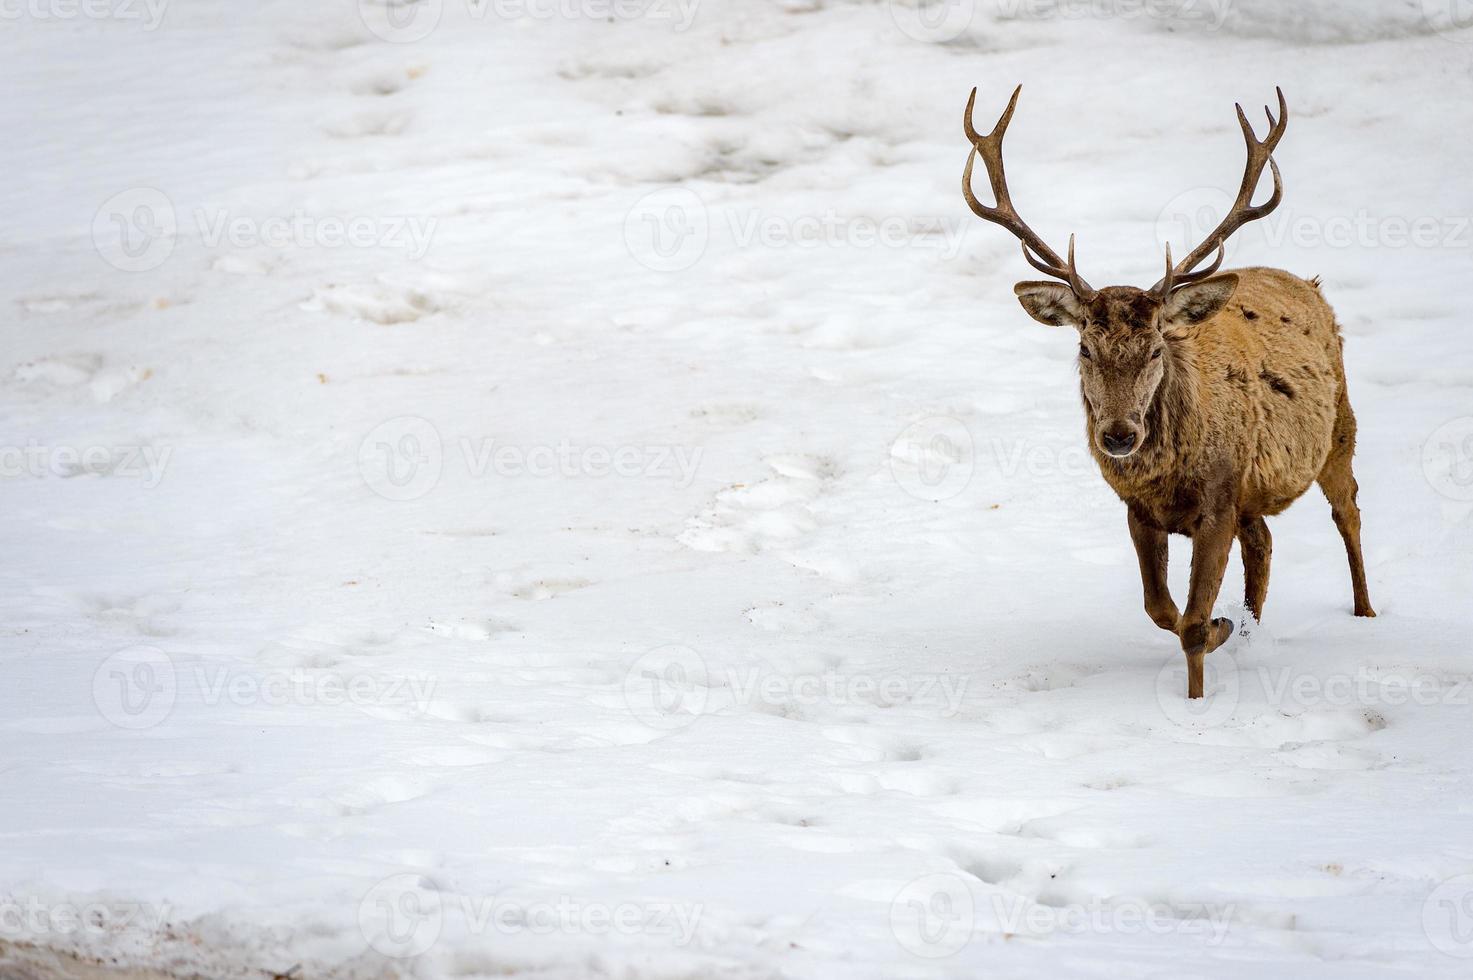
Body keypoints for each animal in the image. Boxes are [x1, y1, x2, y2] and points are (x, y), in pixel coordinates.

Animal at [960, 84, 1372, 695]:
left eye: (1156, 348)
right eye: (1084, 349)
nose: (1118, 434)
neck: (1170, 480)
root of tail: (1309, 284)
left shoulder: (1219, 500)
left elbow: (1193, 624)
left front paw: (1198, 692)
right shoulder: (1140, 510)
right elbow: (1161, 610)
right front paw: (1226, 627)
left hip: (1340, 426)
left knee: (1349, 511)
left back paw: (1365, 613)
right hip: (1254, 495)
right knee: (1264, 542)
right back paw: (1251, 628)